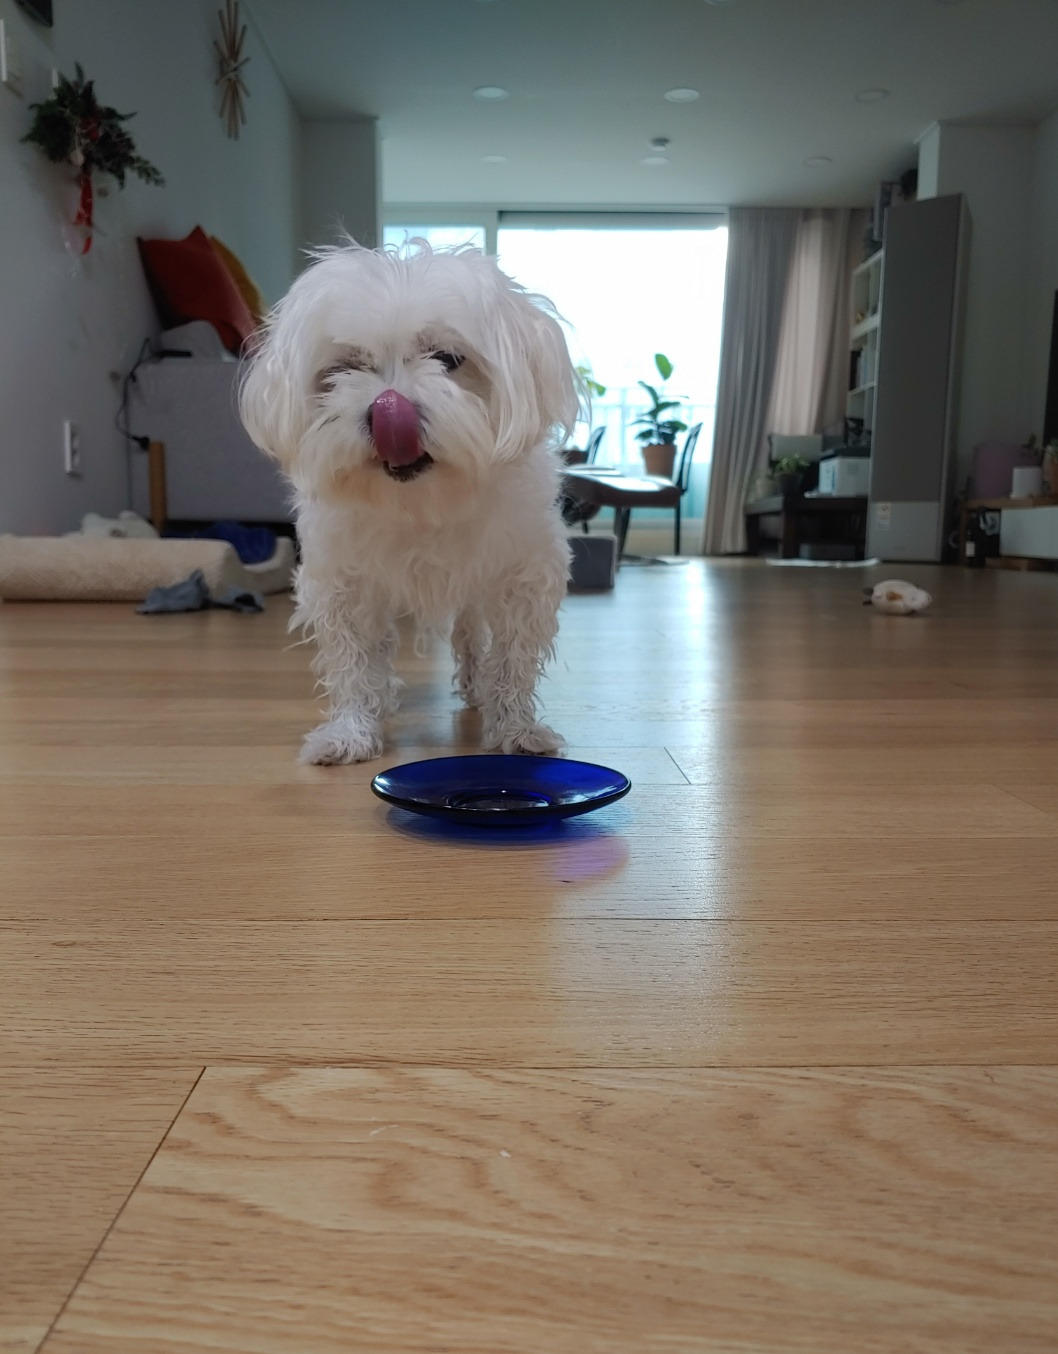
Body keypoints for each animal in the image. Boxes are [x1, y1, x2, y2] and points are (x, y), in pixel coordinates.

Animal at [239, 239, 579, 764]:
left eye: (448, 358)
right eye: (345, 368)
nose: (386, 410)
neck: (421, 503)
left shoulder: (521, 577)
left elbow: (512, 659)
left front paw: (516, 730)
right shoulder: (344, 584)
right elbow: (354, 662)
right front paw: (351, 732)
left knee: (469, 635)